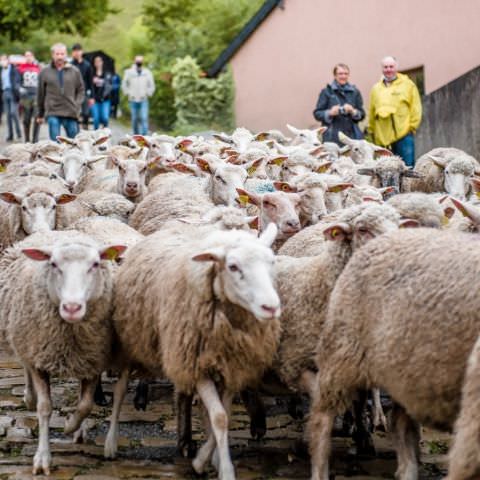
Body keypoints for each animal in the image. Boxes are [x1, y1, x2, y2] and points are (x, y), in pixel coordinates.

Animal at [0, 231, 125, 474]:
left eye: (95, 264)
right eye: (53, 264)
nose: (72, 308)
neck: (69, 336)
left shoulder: (93, 361)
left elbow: (85, 405)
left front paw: (70, 426)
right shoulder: (39, 360)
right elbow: (44, 408)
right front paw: (42, 458)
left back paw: (79, 431)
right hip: (22, 336)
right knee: (25, 366)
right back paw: (29, 397)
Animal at [103, 225, 280, 480]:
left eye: (272, 262)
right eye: (233, 266)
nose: (271, 307)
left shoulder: (229, 367)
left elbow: (223, 413)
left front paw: (208, 459)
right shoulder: (198, 368)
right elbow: (219, 417)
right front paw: (223, 469)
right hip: (132, 343)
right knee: (119, 390)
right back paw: (111, 443)